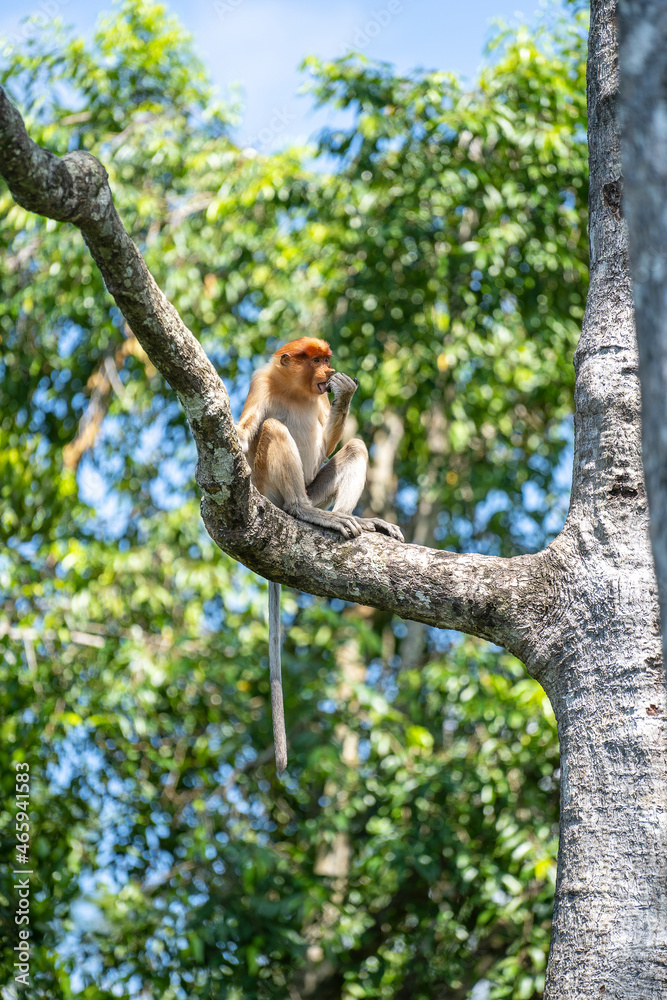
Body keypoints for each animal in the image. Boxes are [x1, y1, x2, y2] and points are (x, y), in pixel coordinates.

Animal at [236, 336, 404, 774]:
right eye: (315, 360)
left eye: (327, 361)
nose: (329, 373)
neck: (294, 388)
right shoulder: (260, 380)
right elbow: (248, 430)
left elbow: (331, 443)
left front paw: (345, 392)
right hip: (269, 486)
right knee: (273, 429)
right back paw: (305, 512)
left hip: (316, 487)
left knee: (355, 447)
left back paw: (354, 521)